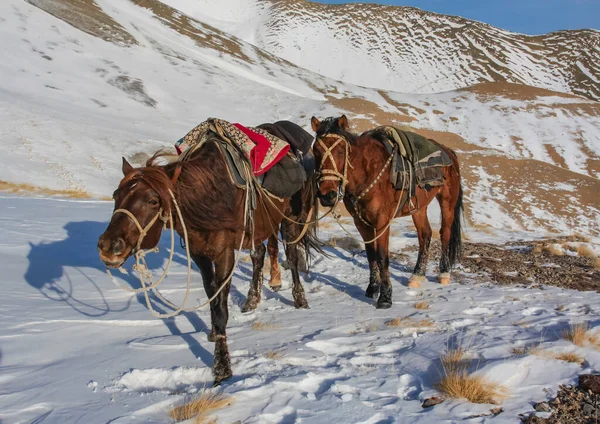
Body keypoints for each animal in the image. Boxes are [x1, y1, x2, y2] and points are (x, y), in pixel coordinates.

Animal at [98, 123, 322, 384]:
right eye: (116, 195)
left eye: (153, 200)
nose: (109, 246)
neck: (209, 195)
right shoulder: (200, 255)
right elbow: (212, 293)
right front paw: (215, 332)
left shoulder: (224, 252)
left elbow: (221, 306)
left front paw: (222, 367)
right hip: (258, 227)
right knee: (259, 254)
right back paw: (251, 300)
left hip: (290, 218)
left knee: (292, 255)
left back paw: (300, 299)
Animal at [310, 115, 464, 308]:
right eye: (315, 150)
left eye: (341, 150)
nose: (327, 195)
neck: (367, 174)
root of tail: (448, 152)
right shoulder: (361, 223)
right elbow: (371, 255)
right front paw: (372, 288)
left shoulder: (382, 221)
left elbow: (382, 256)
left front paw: (385, 297)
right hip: (418, 208)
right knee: (425, 235)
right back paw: (417, 276)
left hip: (447, 202)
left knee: (445, 233)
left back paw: (444, 273)